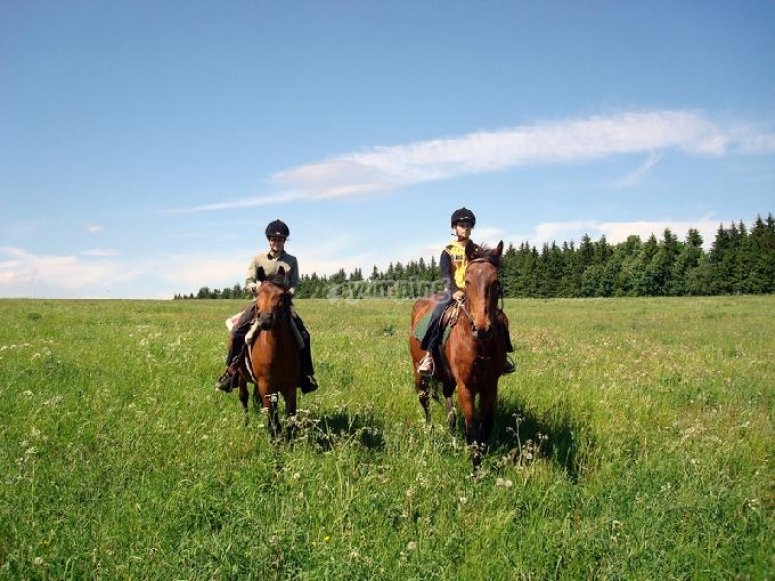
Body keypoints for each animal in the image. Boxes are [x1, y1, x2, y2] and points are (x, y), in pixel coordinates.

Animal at [235, 266, 302, 438]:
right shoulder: (265, 385)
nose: (265, 319)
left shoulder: (290, 386)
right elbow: (272, 419)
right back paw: (246, 424)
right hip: (241, 376)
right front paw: (274, 440)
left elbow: (290, 415)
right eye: (258, 293)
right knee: (243, 398)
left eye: (281, 295)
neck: (278, 352)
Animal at [406, 240, 510, 466]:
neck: (480, 345)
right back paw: (429, 432)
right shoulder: (465, 387)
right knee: (424, 401)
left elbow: (486, 427)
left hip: (447, 378)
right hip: (419, 374)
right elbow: (472, 430)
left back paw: (453, 443)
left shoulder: (490, 385)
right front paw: (475, 467)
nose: (482, 328)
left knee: (450, 412)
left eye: (495, 281)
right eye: (468, 281)